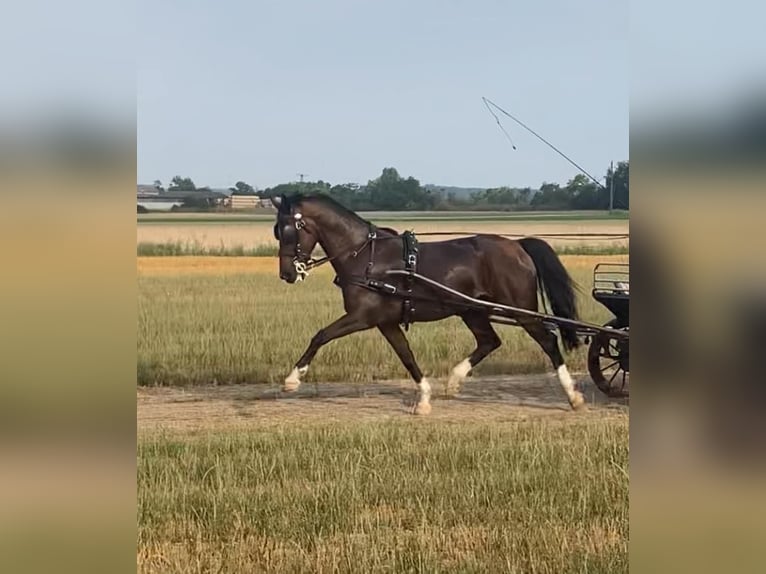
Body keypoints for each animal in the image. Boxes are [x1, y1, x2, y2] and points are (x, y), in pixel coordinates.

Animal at [272, 192, 584, 414]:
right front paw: (423, 398)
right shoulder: (386, 322)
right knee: (489, 341)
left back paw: (573, 395)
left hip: (521, 309)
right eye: (277, 230)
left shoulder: (362, 316)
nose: (287, 274)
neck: (365, 257)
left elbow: (321, 335)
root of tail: (517, 244)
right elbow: (406, 356)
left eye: (288, 230)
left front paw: (292, 379)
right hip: (472, 310)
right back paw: (454, 380)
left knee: (548, 340)